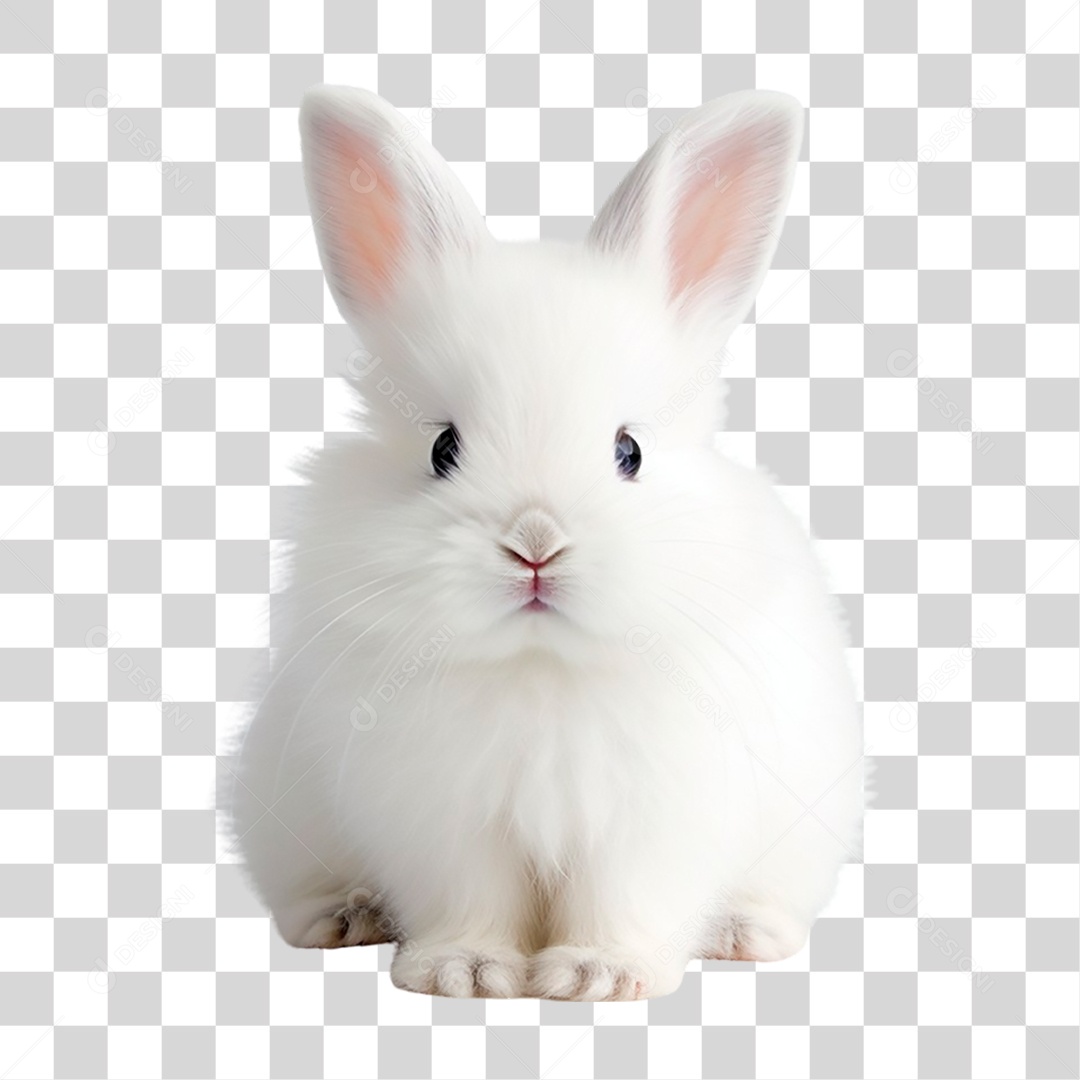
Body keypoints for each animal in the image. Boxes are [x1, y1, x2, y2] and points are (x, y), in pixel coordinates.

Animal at [225, 84, 867, 1002]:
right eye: (442, 448)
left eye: (629, 451)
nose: (536, 544)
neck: (540, 664)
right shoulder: (443, 825)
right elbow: (470, 899)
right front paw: (466, 972)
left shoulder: (654, 823)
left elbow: (625, 900)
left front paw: (596, 976)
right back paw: (344, 916)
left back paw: (745, 933)